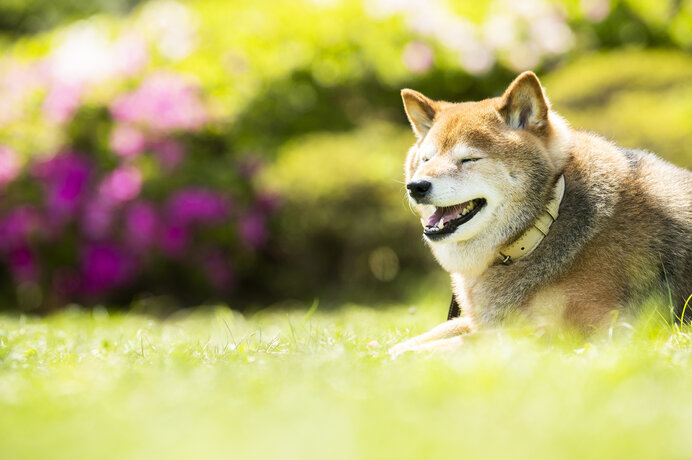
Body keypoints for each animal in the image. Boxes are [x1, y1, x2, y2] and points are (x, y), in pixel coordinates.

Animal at [390, 71, 692, 356]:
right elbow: (436, 332)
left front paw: (409, 356)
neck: (543, 226)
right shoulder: (487, 319)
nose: (416, 186)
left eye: (469, 159)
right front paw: (387, 351)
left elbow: (476, 341)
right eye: (426, 159)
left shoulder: (603, 328)